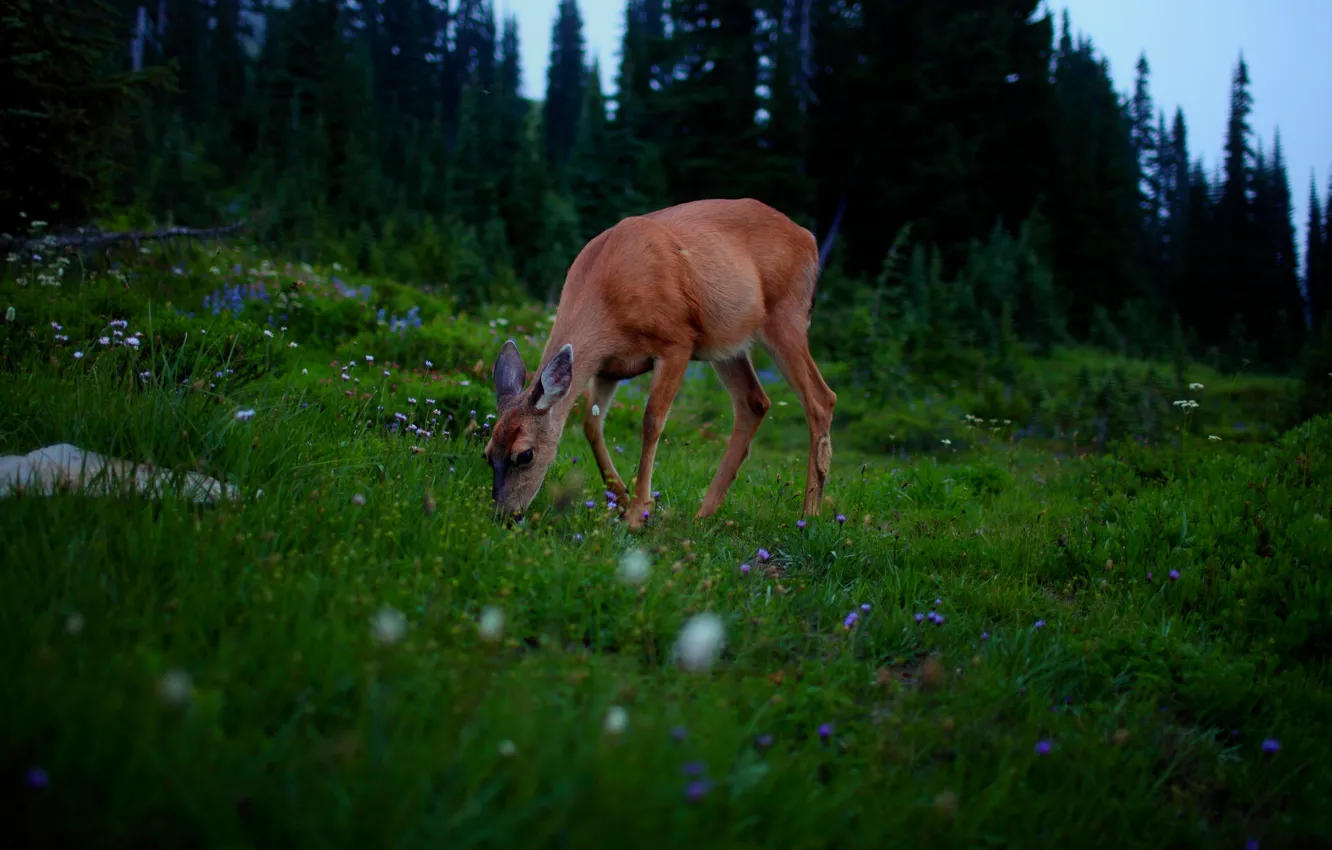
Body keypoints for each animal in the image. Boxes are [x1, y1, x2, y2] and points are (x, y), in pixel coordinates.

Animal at [484, 199, 836, 532]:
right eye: (488, 454)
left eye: (525, 454)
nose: (504, 516)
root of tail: (809, 238)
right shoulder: (608, 367)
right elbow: (591, 425)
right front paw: (622, 498)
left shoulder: (677, 341)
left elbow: (652, 421)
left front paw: (639, 512)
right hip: (726, 344)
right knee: (754, 402)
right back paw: (704, 513)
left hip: (785, 315)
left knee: (821, 398)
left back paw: (809, 514)